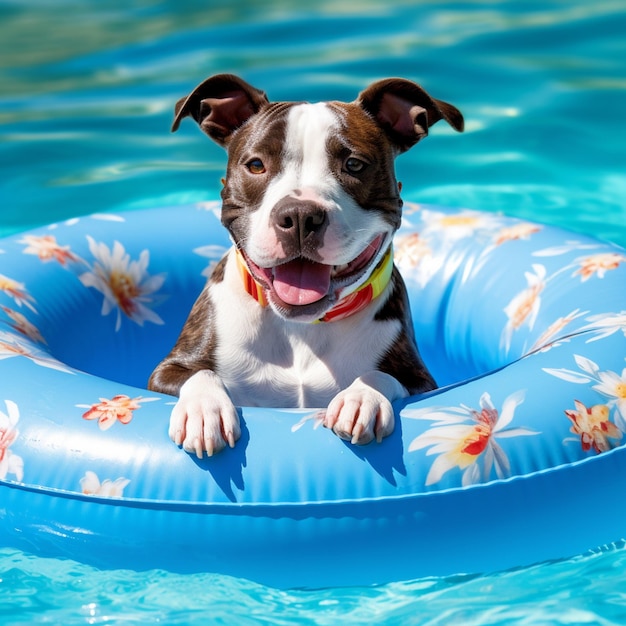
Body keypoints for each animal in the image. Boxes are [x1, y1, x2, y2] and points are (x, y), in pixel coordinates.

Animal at [147, 73, 464, 456]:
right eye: (256, 165)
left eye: (354, 164)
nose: (299, 214)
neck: (302, 328)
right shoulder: (167, 370)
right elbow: (199, 373)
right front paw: (204, 411)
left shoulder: (421, 382)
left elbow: (380, 374)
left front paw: (362, 397)